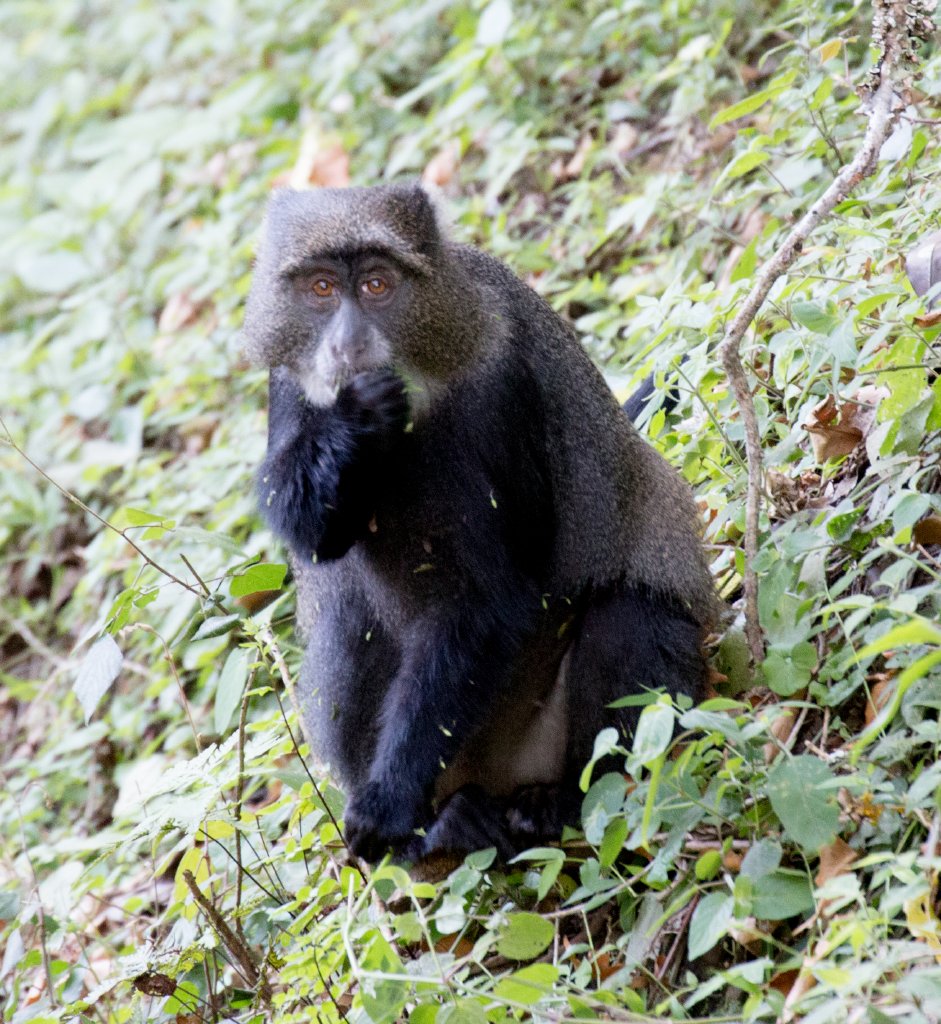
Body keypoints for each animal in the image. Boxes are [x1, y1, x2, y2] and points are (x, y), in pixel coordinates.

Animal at [242, 183, 717, 863]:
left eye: (378, 285)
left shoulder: (495, 392)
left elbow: (489, 600)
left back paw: (559, 803)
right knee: (350, 626)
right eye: (322, 288)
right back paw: (444, 827)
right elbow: (316, 535)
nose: (348, 346)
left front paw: (386, 805)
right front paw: (356, 418)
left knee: (626, 615)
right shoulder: (287, 381)